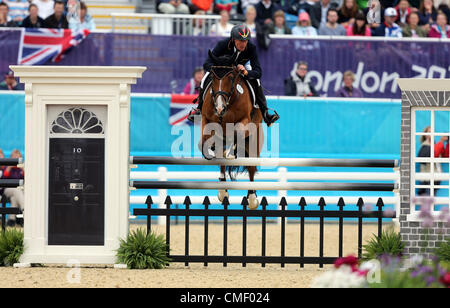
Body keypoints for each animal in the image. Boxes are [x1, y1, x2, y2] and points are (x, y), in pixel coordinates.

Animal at [199, 51, 266, 211]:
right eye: (212, 77)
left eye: (230, 77)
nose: (219, 108)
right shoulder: (206, 119)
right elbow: (204, 142)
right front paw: (211, 150)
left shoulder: (245, 121)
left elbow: (237, 134)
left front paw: (230, 152)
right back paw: (223, 191)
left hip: (255, 139)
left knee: (251, 166)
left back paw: (252, 198)